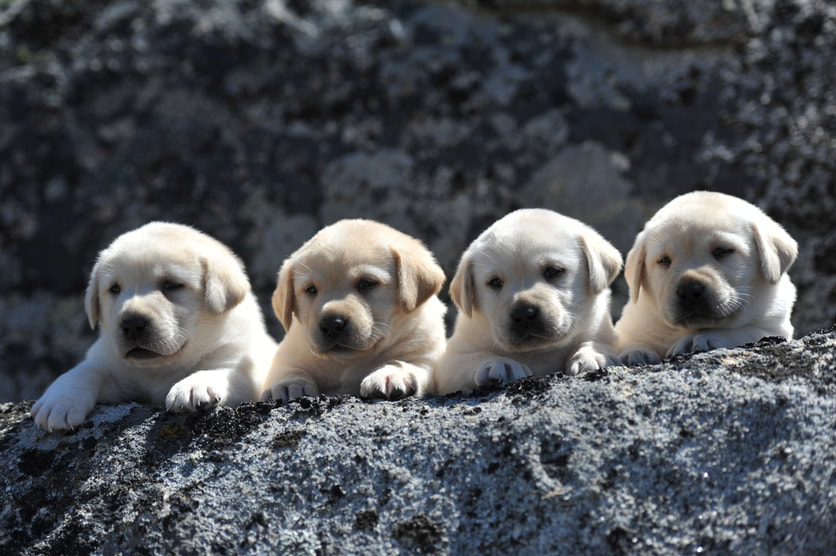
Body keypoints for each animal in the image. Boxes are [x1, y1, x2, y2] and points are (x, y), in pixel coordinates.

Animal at [30, 222, 278, 430]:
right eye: (115, 289)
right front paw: (59, 400)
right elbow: (87, 369)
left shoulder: (247, 365)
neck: (160, 369)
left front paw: (193, 386)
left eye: (171, 284)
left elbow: (225, 371)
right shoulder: (114, 368)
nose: (131, 324)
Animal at [262, 218, 448, 404]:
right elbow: (288, 368)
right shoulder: (290, 351)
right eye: (311, 289)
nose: (332, 324)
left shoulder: (426, 357)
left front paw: (389, 374)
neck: (347, 362)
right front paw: (288, 384)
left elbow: (406, 363)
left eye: (366, 283)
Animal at [434, 208, 624, 396]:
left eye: (554, 271)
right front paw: (500, 364)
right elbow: (471, 358)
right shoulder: (449, 364)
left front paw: (592, 354)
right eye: (494, 282)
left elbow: (598, 342)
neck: (539, 352)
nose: (524, 313)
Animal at [616, 191, 800, 364]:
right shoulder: (631, 324)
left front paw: (697, 338)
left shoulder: (775, 329)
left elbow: (741, 331)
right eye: (664, 260)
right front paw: (636, 351)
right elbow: (629, 340)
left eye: (722, 251)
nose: (689, 290)